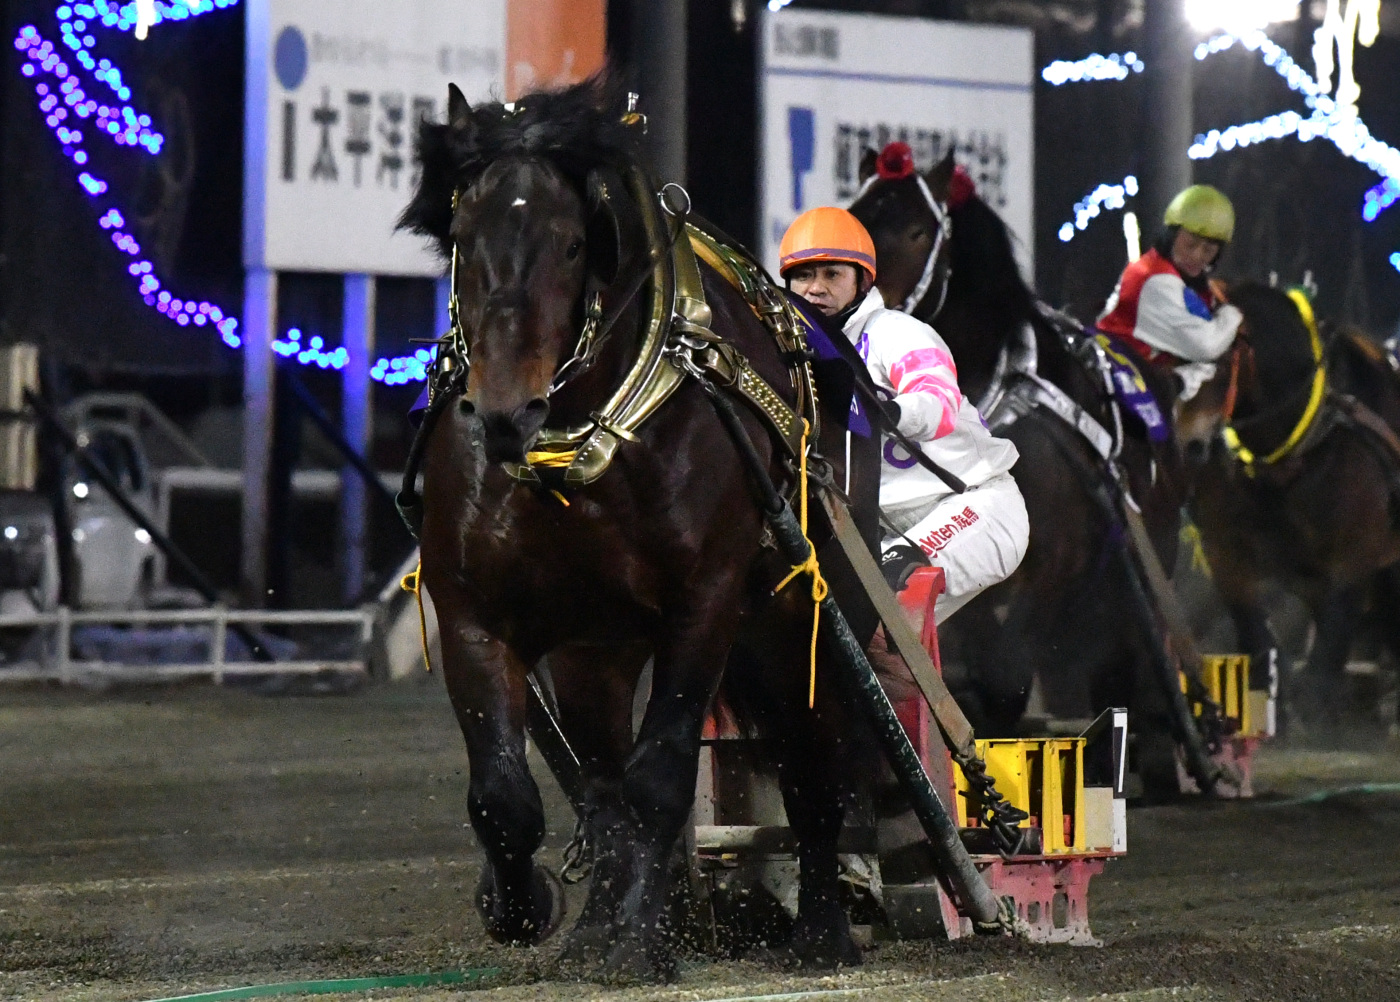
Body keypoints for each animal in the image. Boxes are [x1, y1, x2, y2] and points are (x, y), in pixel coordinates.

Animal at [396, 77, 883, 981]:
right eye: (465, 241)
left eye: (570, 246)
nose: (506, 414)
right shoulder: (472, 607)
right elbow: (509, 797)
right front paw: (527, 908)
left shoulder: (707, 599)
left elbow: (661, 777)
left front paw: (640, 941)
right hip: (602, 642)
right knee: (601, 778)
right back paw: (598, 922)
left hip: (794, 605)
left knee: (815, 750)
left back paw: (821, 928)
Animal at [848, 149, 1193, 797]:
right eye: (856, 211)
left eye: (917, 230)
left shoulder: (1053, 566)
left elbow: (1006, 676)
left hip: (1149, 542)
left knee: (1133, 641)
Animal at [1177, 282, 1400, 734]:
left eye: (1220, 360)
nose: (1189, 443)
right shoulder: (1224, 551)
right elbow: (1256, 635)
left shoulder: (1355, 557)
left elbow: (1330, 645)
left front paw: (1314, 714)